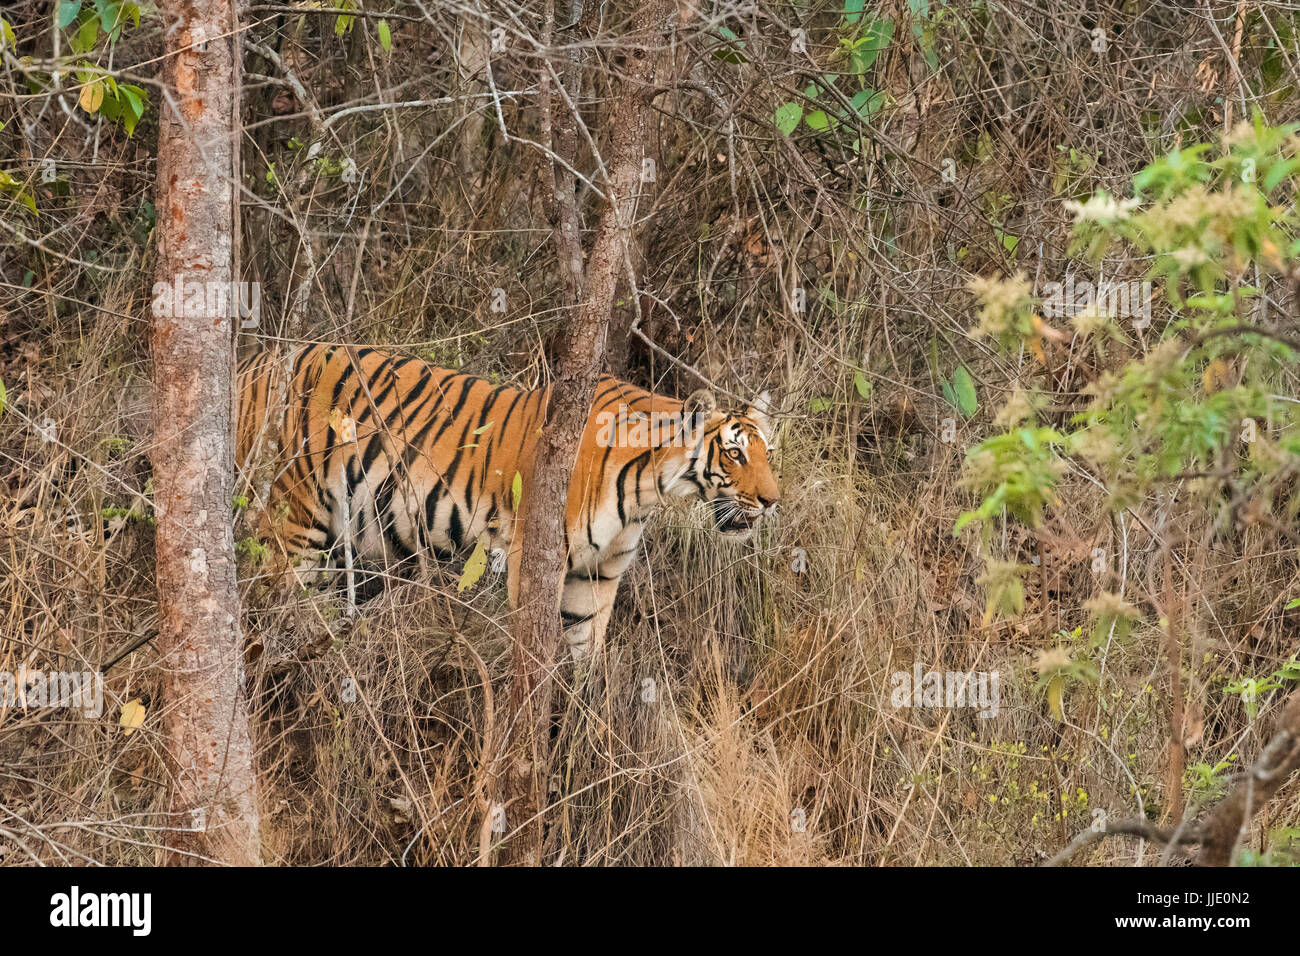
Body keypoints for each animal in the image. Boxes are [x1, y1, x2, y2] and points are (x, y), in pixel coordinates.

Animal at [237, 343, 774, 658]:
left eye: (768, 453)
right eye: (734, 454)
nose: (772, 501)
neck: (647, 488)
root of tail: (255, 363)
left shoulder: (597, 577)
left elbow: (586, 657)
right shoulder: (534, 559)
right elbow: (535, 655)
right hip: (294, 525)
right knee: (270, 611)